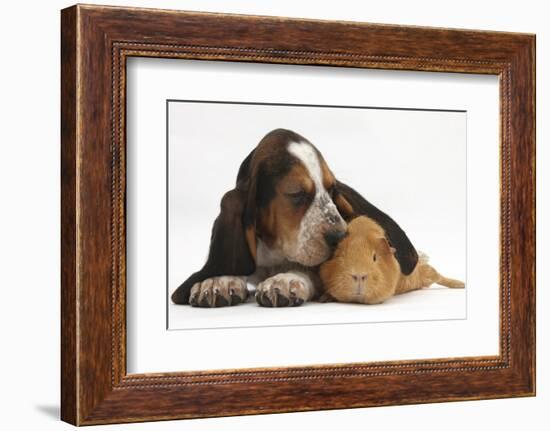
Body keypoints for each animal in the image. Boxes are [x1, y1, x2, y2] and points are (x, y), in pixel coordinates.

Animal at [172, 128, 418, 308]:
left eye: (331, 189)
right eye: (296, 193)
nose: (341, 237)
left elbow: (307, 270)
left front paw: (285, 280)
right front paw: (217, 281)